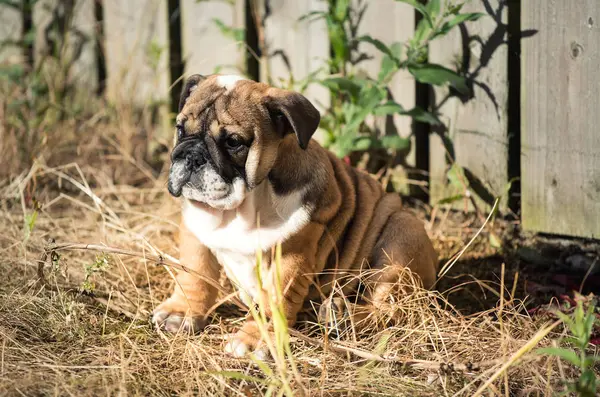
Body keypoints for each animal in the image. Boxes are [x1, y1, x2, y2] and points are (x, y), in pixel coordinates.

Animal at [152, 74, 438, 356]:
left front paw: (255, 339)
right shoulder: (196, 228)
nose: (191, 156)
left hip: (401, 236)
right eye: (180, 129)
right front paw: (182, 311)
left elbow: (274, 303)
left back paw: (342, 314)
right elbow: (194, 274)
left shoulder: (290, 257)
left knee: (392, 308)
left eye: (233, 142)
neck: (242, 208)